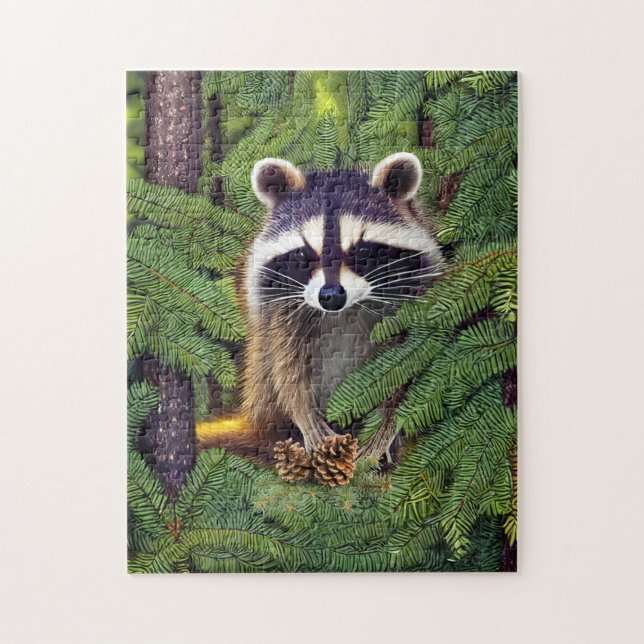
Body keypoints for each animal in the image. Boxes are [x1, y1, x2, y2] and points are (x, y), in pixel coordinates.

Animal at [198, 153, 442, 467]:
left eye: (364, 251)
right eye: (305, 254)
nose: (331, 297)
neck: (343, 312)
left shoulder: (411, 296)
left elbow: (405, 365)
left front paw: (386, 427)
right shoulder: (280, 302)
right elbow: (285, 364)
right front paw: (304, 415)